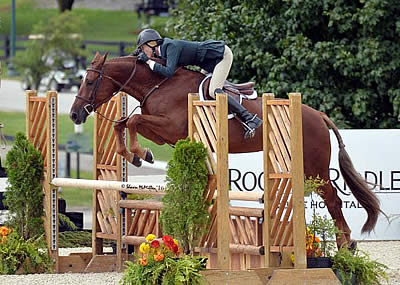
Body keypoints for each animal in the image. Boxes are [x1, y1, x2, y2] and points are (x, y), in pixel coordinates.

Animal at [70, 52, 380, 248]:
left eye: (89, 81)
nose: (74, 114)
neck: (158, 83)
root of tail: (318, 115)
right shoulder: (160, 133)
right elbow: (122, 123)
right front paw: (135, 155)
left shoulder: (170, 126)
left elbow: (132, 121)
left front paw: (139, 154)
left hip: (315, 169)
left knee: (334, 200)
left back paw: (345, 244)